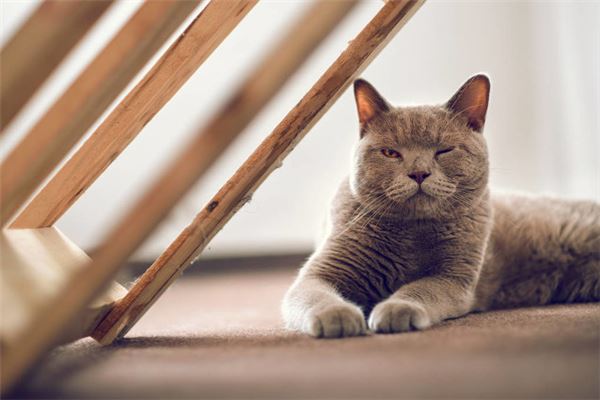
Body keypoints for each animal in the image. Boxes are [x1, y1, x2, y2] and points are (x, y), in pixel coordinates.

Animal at [282, 74, 600, 338]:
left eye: (444, 150)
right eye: (390, 153)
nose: (419, 173)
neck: (409, 235)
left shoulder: (452, 278)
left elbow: (419, 289)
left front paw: (395, 309)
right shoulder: (321, 272)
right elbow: (316, 295)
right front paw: (338, 315)